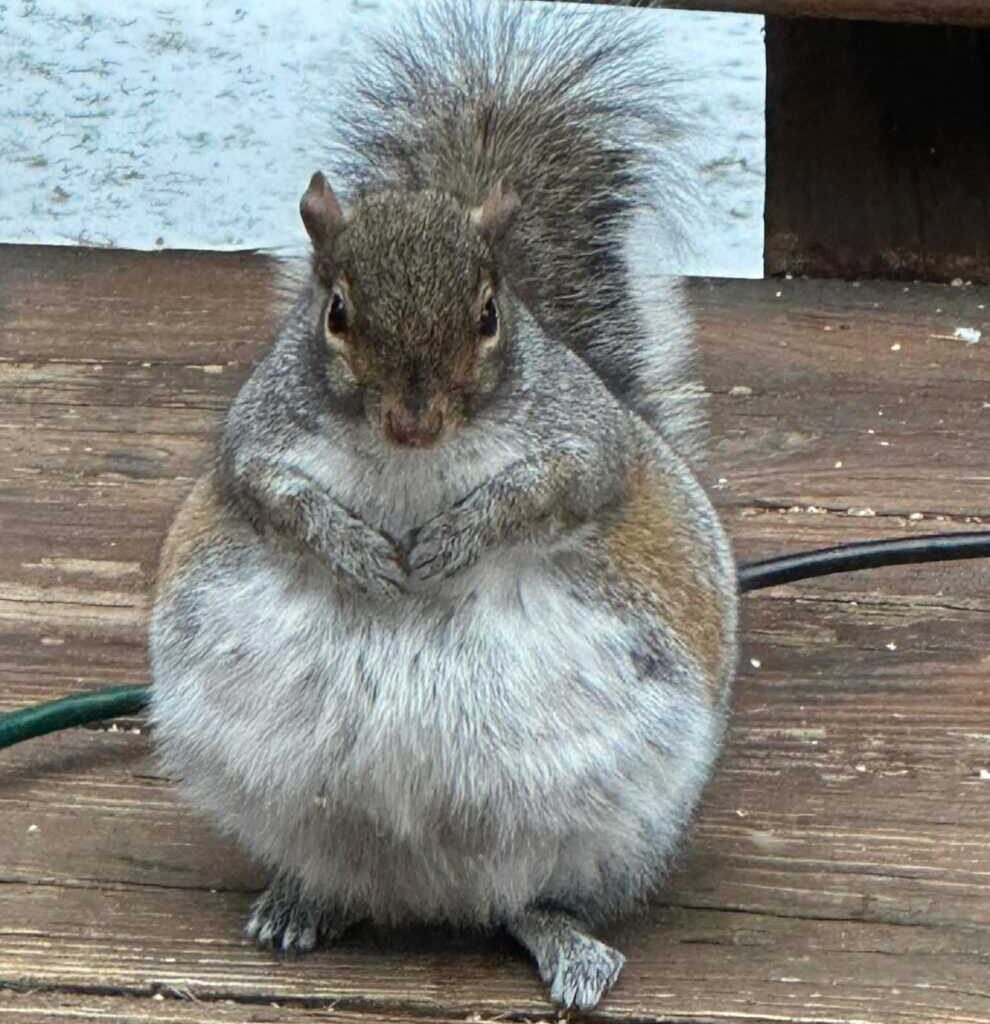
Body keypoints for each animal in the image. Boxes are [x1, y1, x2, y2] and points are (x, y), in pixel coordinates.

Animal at [148, 1, 738, 1012]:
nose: (413, 417)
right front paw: (353, 548)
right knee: (349, 873)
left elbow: (547, 486)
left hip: (611, 819)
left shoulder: (588, 442)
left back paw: (565, 944)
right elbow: (274, 499)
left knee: (527, 901)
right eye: (336, 312)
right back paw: (304, 902)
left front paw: (455, 539)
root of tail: (430, 889)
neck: (410, 460)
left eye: (491, 313)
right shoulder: (252, 444)